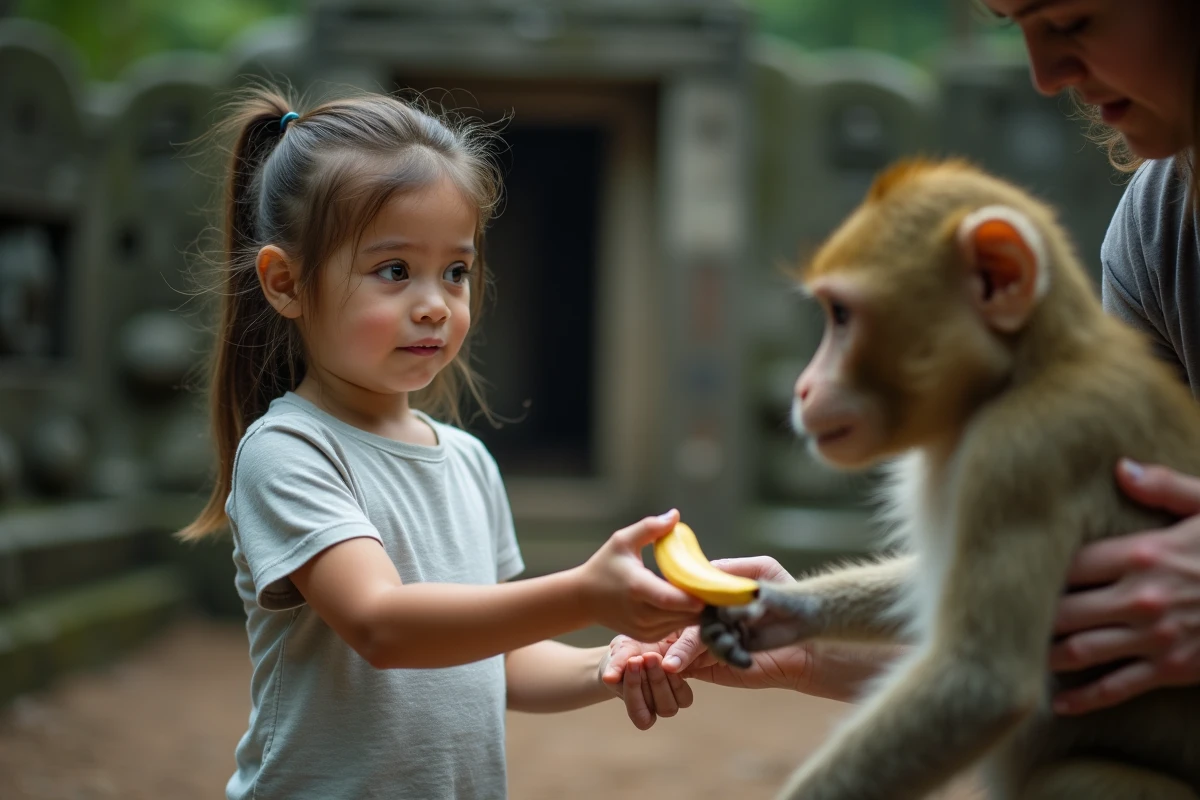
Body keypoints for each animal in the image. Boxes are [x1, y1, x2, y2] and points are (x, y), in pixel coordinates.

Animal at [701, 158, 1200, 800]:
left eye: (842, 316)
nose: (803, 388)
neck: (1022, 371)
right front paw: (778, 608)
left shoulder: (1025, 451)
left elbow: (982, 685)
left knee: (1069, 775)